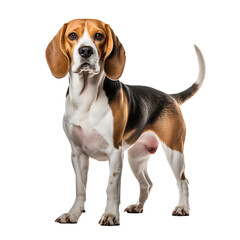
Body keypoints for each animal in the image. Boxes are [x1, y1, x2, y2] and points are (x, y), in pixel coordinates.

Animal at [46, 18, 205, 225]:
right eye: (72, 35)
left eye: (99, 36)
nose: (86, 51)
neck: (86, 100)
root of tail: (170, 96)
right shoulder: (77, 153)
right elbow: (80, 188)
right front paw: (73, 214)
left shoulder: (115, 153)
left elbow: (112, 187)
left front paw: (110, 215)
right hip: (136, 158)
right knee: (147, 184)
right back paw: (138, 206)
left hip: (174, 151)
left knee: (183, 181)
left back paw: (182, 208)